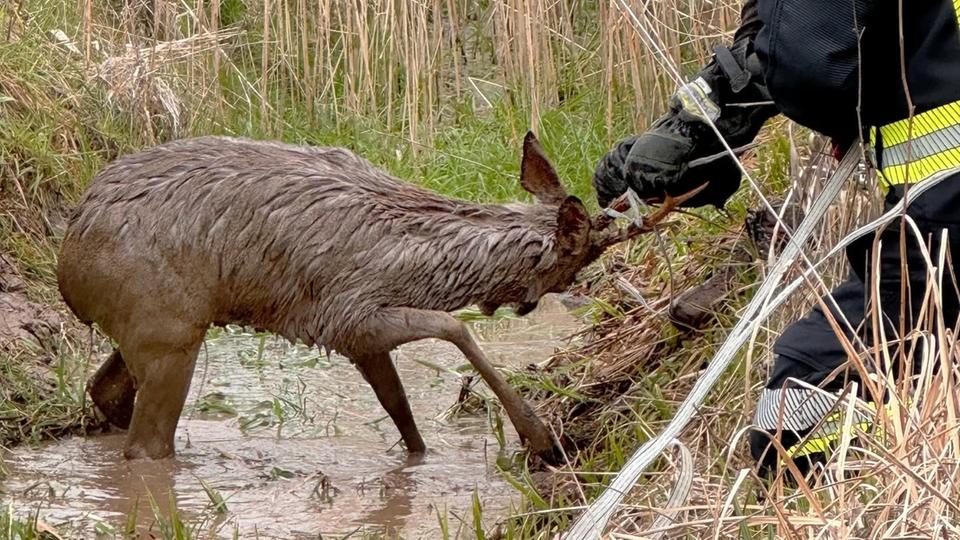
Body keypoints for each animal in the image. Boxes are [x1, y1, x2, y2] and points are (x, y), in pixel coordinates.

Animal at [57, 132, 690, 465]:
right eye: (582, 257)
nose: (568, 291)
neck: (423, 263)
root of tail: (67, 264)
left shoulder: (360, 339)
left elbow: (400, 407)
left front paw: (419, 459)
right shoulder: (343, 315)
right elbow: (454, 327)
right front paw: (540, 439)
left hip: (157, 328)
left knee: (103, 389)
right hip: (166, 329)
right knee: (146, 447)